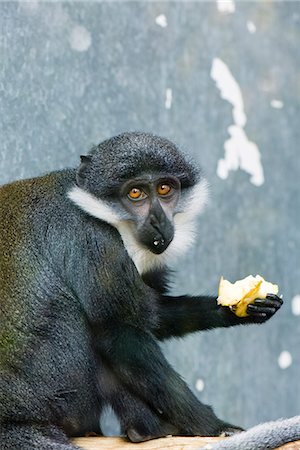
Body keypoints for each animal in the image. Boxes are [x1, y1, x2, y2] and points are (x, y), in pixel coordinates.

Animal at [0, 132, 282, 448]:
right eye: (135, 193)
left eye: (164, 188)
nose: (159, 222)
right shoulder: (94, 239)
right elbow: (121, 332)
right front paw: (215, 426)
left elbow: (152, 315)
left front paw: (243, 309)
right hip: (62, 397)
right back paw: (146, 430)